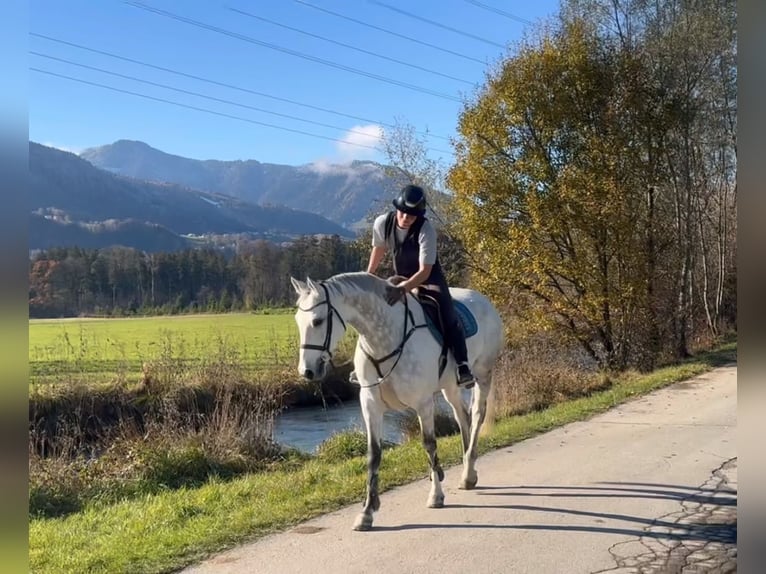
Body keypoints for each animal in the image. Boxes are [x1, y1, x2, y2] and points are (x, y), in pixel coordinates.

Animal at [292, 272, 508, 532]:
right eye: (297, 320)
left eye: (317, 321)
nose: (307, 371)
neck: (384, 339)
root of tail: (483, 300)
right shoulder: (370, 405)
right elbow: (374, 454)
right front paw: (367, 511)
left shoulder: (423, 403)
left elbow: (429, 444)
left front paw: (436, 495)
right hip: (450, 387)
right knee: (462, 417)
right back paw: (468, 473)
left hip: (483, 375)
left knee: (476, 416)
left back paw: (467, 474)